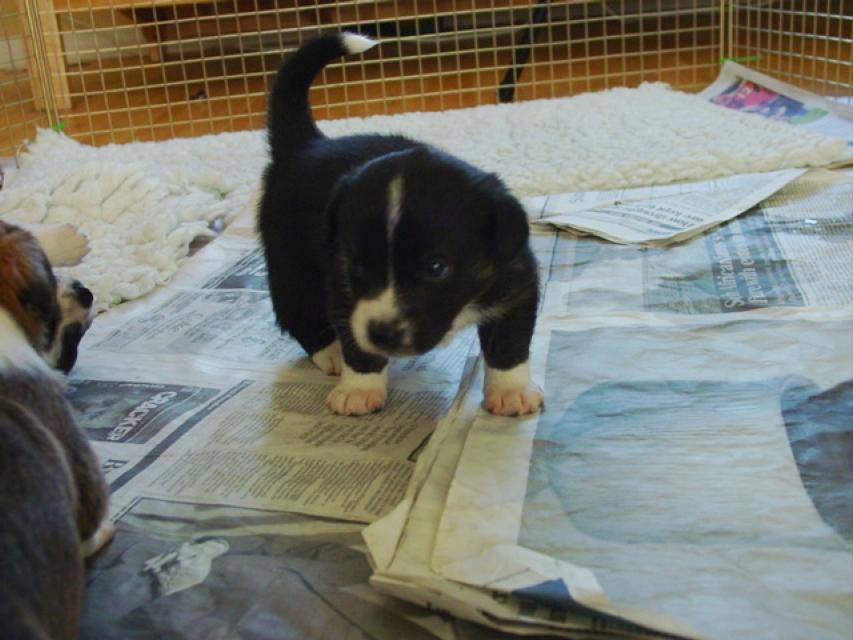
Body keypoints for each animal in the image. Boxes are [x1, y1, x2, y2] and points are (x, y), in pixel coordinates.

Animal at [259, 33, 544, 417]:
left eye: (436, 267)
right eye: (358, 267)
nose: (381, 334)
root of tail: (307, 144)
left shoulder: (516, 284)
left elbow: (509, 344)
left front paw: (512, 392)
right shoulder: (340, 283)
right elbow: (355, 342)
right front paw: (358, 390)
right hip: (290, 264)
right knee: (299, 314)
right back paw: (330, 353)